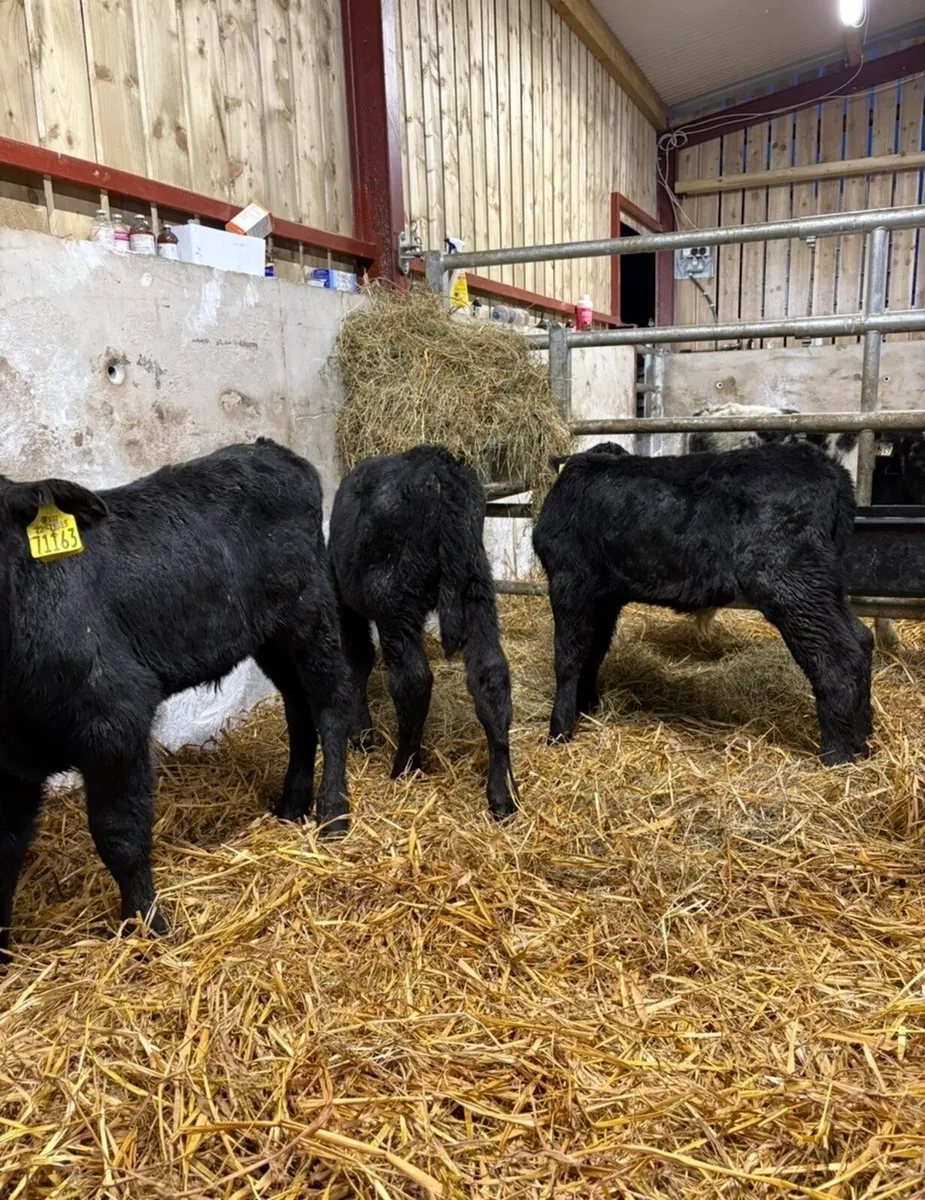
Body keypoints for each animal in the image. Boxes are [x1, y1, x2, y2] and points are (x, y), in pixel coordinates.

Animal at [0, 439, 351, 959]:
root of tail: (271, 450)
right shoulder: (11, 764)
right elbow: (6, 848)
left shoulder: (116, 716)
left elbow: (120, 834)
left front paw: (148, 928)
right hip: (270, 634)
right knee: (297, 706)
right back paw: (291, 806)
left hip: (309, 612)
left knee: (330, 703)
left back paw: (333, 814)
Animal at [329, 445, 517, 820]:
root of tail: (438, 466)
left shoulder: (344, 599)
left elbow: (357, 659)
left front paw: (361, 735)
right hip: (476, 586)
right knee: (491, 676)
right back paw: (503, 793)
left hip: (394, 601)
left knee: (412, 679)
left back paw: (404, 766)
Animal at [533, 441, 873, 765]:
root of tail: (830, 469)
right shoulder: (605, 595)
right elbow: (593, 651)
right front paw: (586, 709)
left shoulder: (569, 579)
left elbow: (568, 656)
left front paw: (559, 731)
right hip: (825, 584)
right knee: (861, 639)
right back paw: (863, 740)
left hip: (790, 583)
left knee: (835, 655)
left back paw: (837, 755)